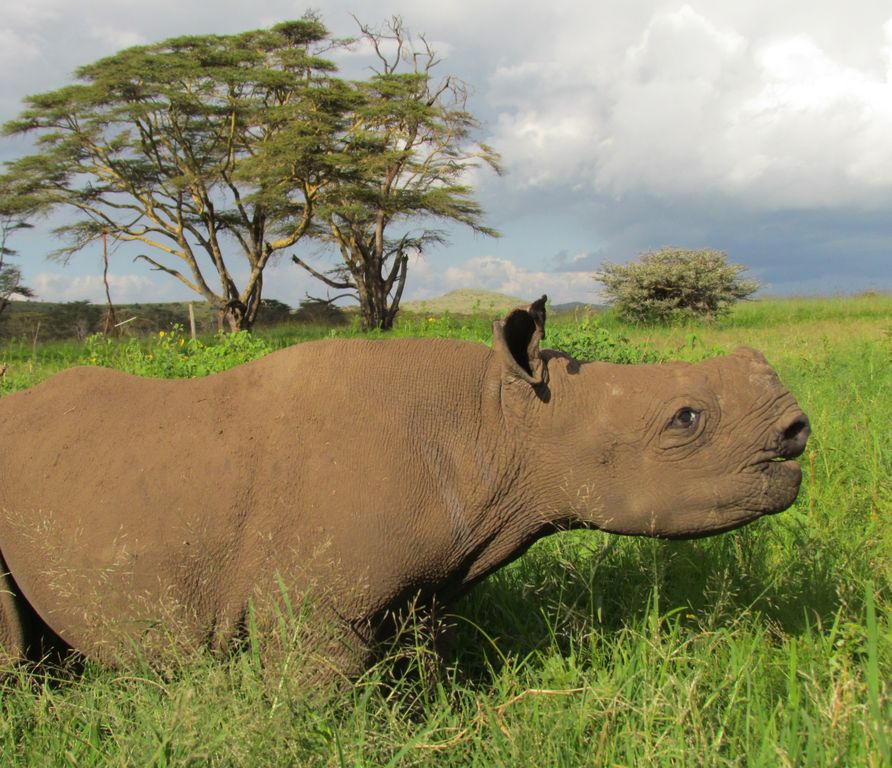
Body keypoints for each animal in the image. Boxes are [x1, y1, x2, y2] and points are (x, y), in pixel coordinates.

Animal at [0, 297, 809, 675]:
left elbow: (421, 668)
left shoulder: (427, 585)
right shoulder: (317, 604)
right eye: (686, 419)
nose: (798, 433)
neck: (496, 420)